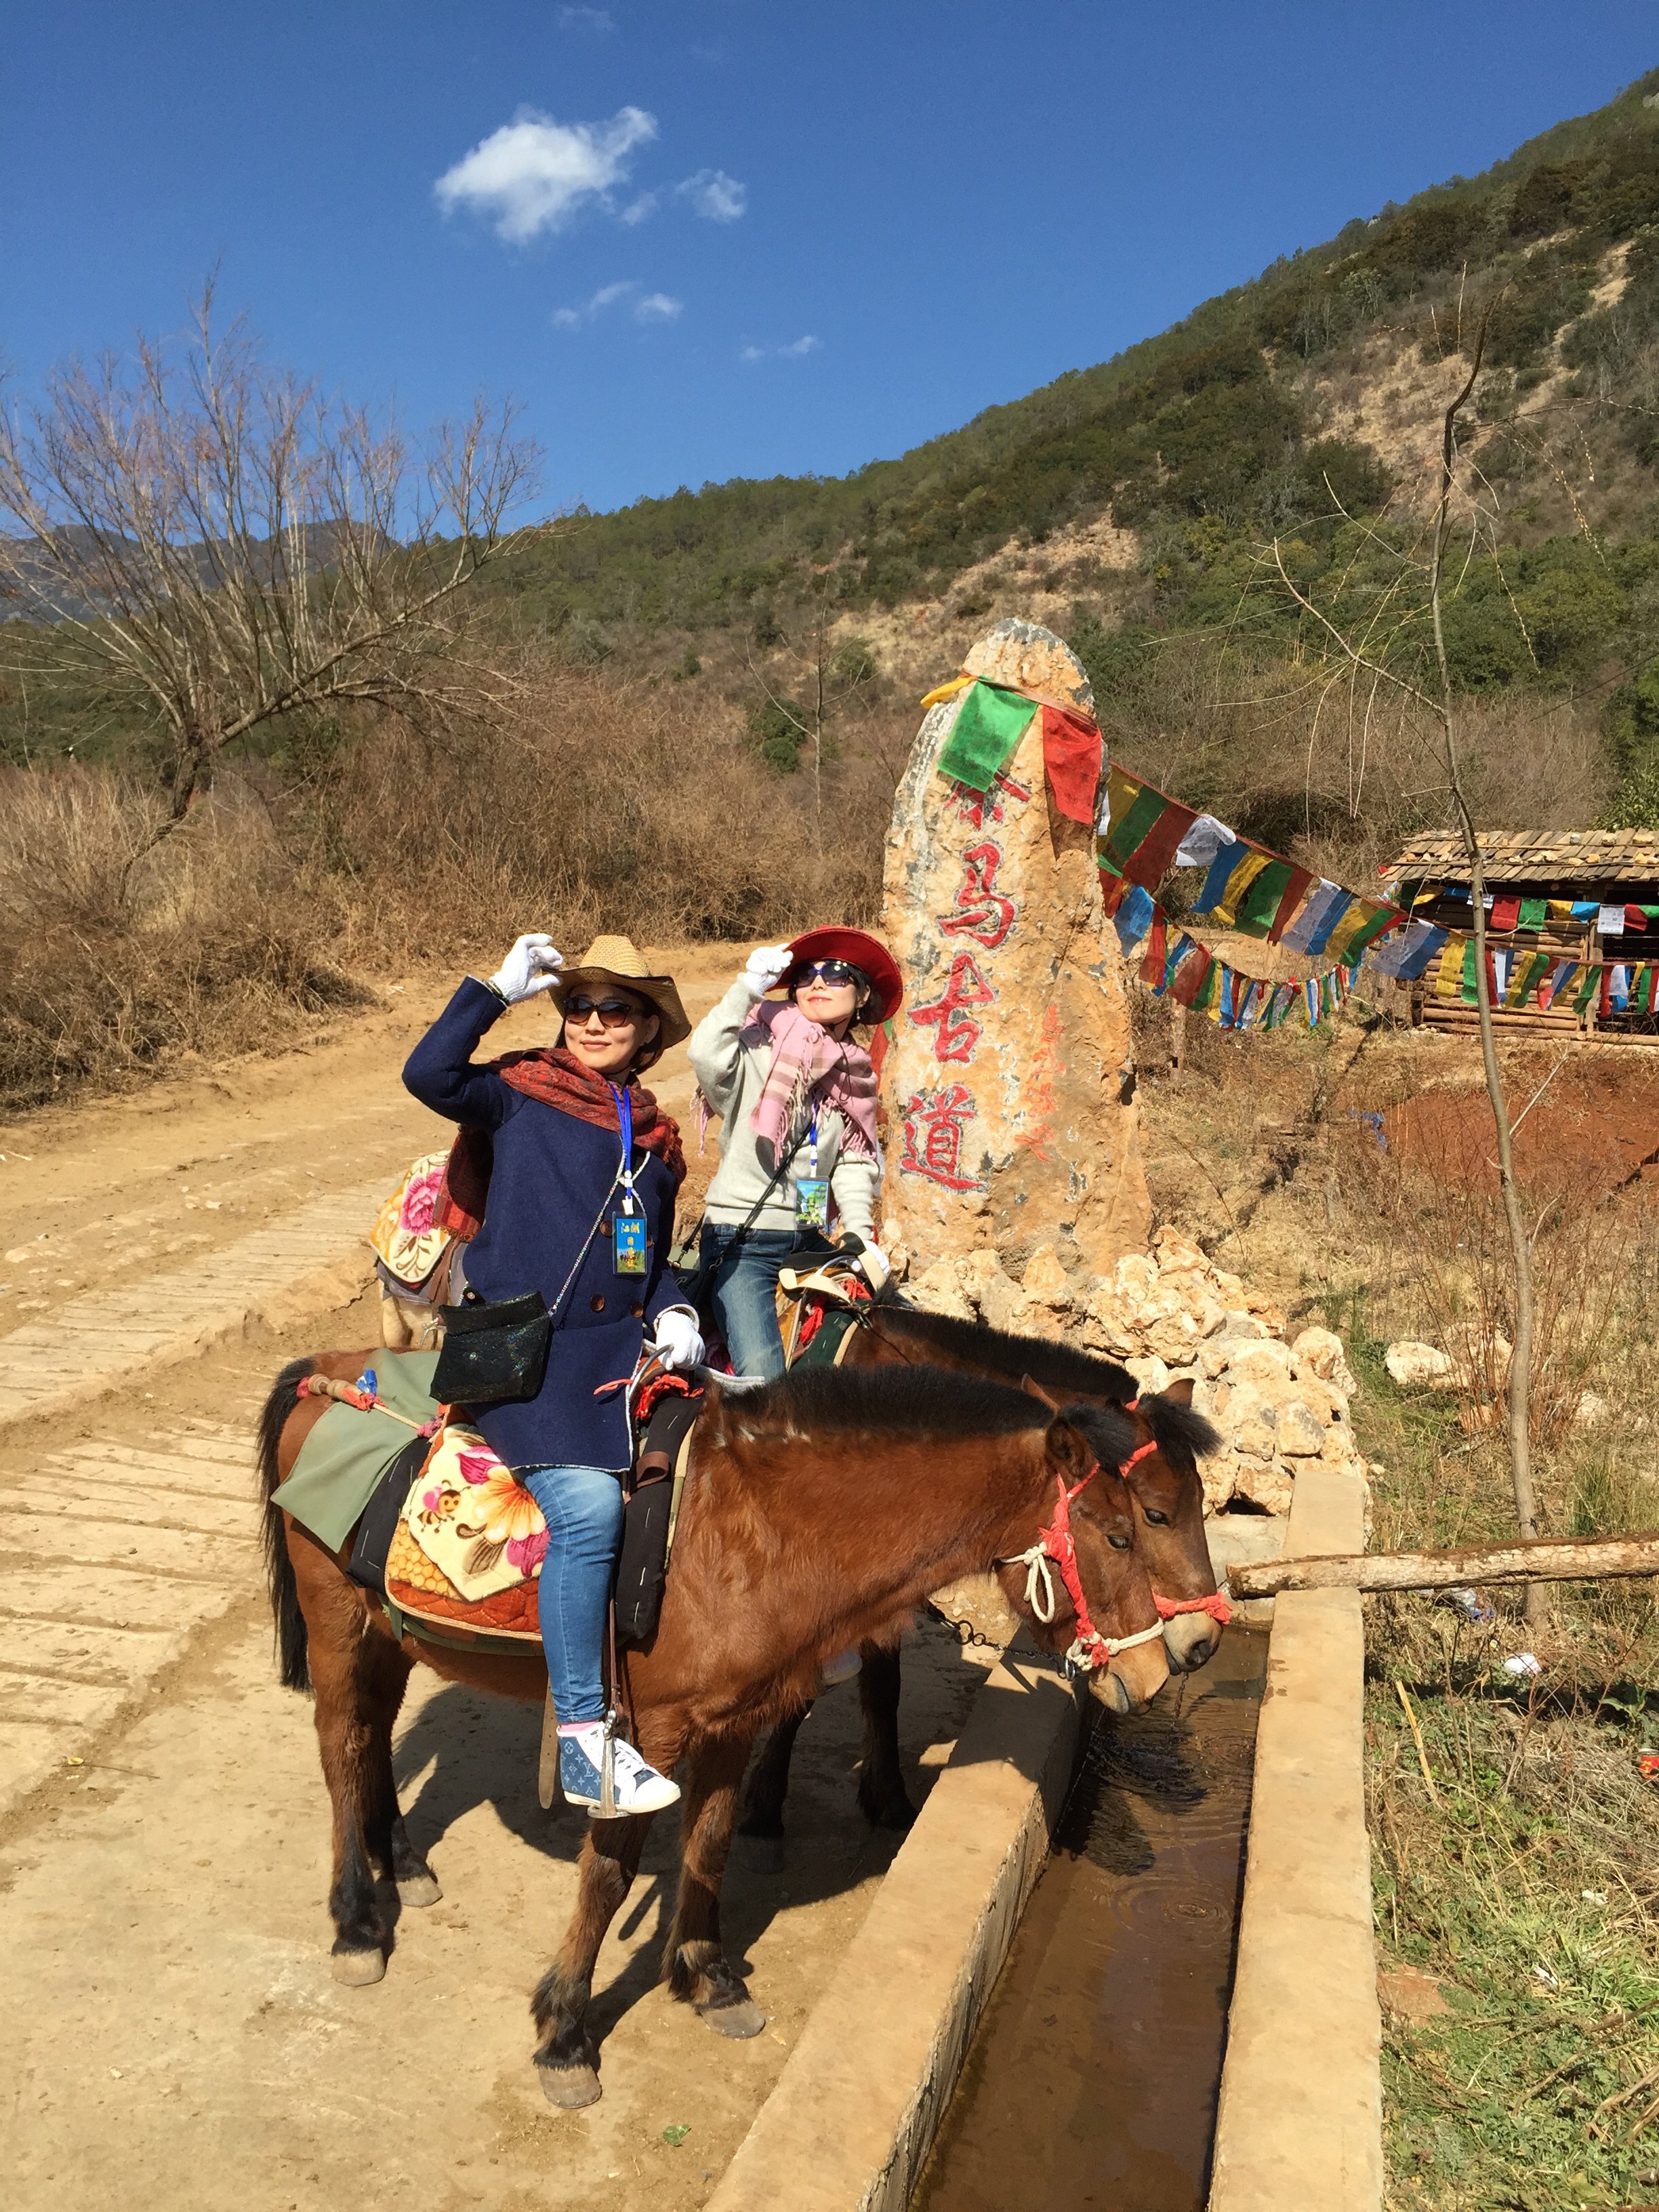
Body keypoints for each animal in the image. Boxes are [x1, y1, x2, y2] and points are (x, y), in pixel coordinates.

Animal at [256, 1336, 1168, 2097]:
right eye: (1124, 1533)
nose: (1162, 1670)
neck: (757, 1531)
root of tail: (325, 1371)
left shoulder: (735, 1718)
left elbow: (712, 1839)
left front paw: (707, 1975)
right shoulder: (646, 1735)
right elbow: (609, 1873)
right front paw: (565, 2032)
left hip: (390, 1633)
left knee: (374, 1739)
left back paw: (404, 1863)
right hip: (336, 1623)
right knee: (341, 1748)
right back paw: (356, 1924)